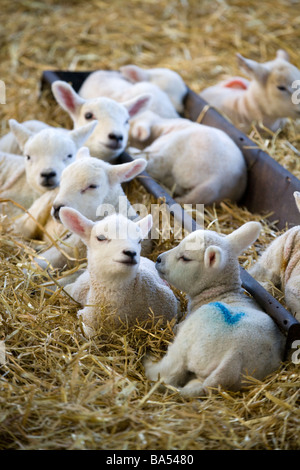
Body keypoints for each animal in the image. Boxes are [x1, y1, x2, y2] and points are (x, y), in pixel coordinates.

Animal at [144, 221, 284, 396]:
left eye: (185, 258)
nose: (158, 259)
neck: (221, 293)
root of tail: (233, 359)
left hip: (189, 340)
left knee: (169, 372)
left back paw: (148, 363)